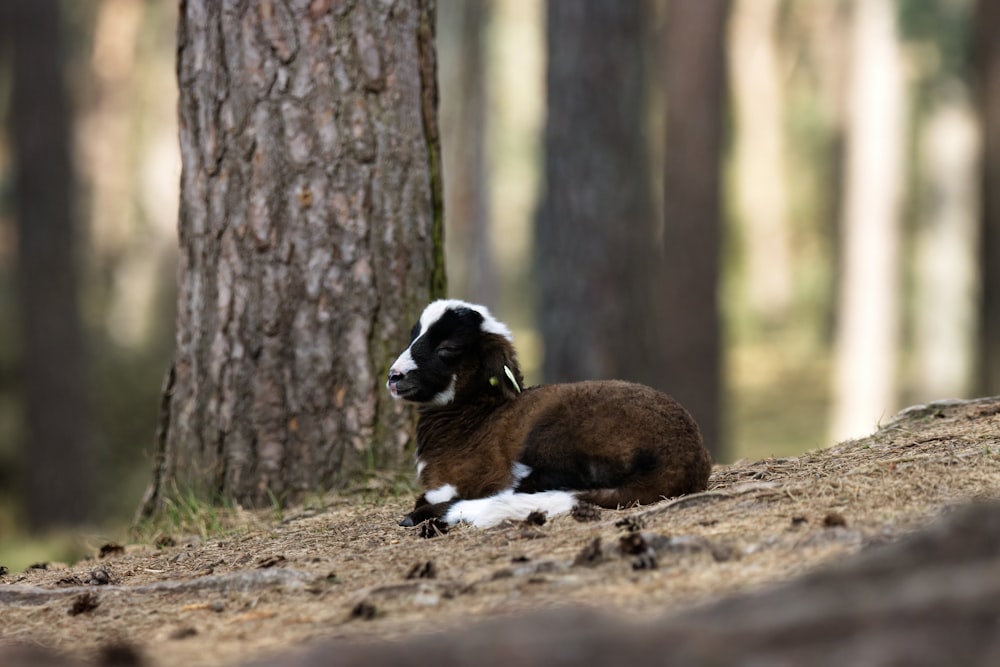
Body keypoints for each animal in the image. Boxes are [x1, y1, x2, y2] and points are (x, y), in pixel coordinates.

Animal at [384, 300, 712, 528]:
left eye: (447, 348)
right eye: (413, 337)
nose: (393, 376)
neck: (473, 418)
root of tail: (682, 460)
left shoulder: (469, 475)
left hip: (559, 438)